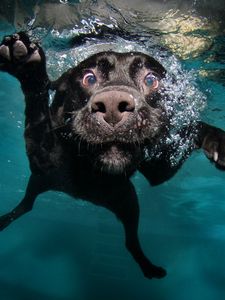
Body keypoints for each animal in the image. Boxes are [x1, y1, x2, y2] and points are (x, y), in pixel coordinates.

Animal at [0, 32, 225, 278]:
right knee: (26, 205)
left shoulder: (160, 168)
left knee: (130, 241)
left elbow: (193, 128)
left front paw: (217, 141)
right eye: (89, 78)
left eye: (151, 80)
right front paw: (28, 66)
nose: (112, 105)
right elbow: (38, 113)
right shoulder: (43, 155)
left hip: (128, 201)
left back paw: (149, 268)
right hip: (40, 182)